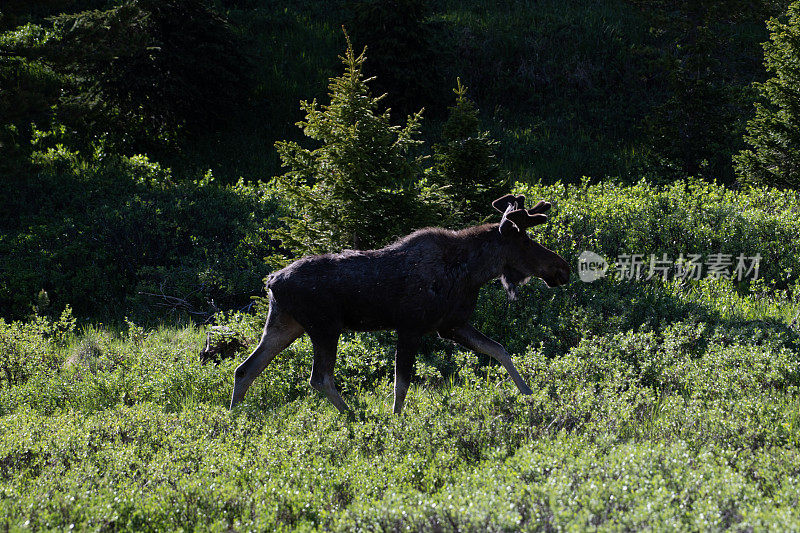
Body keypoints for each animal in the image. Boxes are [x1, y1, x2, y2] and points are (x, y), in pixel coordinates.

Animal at [228, 193, 572, 414]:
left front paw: (529, 394)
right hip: (324, 326)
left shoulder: (451, 325)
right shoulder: (411, 326)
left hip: (285, 324)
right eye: (525, 241)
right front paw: (396, 420)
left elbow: (499, 349)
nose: (563, 268)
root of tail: (271, 281)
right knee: (319, 377)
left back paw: (234, 420)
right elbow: (402, 383)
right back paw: (355, 416)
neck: (471, 273)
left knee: (245, 369)